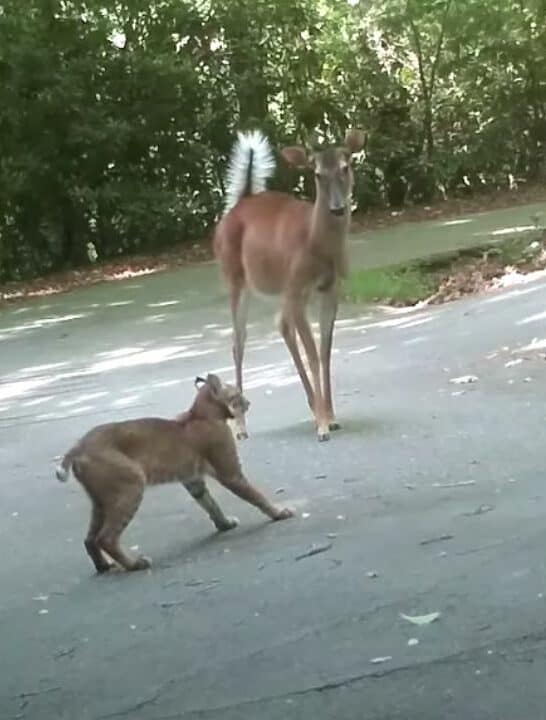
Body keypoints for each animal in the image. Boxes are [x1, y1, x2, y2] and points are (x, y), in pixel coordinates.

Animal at [55, 374, 293, 573]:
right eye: (237, 393)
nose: (249, 402)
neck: (201, 412)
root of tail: (80, 445)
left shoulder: (192, 479)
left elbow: (211, 504)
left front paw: (224, 524)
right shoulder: (231, 473)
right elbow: (257, 495)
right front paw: (279, 512)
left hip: (101, 501)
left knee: (90, 538)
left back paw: (104, 566)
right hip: (130, 487)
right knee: (105, 537)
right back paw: (135, 564)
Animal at [213, 127, 365, 442]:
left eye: (346, 166)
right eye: (317, 174)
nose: (337, 208)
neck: (316, 242)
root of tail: (240, 202)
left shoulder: (330, 288)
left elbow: (325, 351)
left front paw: (330, 416)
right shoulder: (297, 287)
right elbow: (313, 354)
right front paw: (323, 426)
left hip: (283, 288)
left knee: (281, 325)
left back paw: (312, 407)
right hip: (235, 277)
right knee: (238, 341)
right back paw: (241, 426)